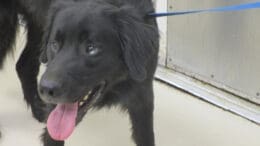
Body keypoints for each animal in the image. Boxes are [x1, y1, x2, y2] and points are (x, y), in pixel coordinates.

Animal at [0, 0, 159, 146]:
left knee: (24, 66)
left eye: (91, 48)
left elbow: (146, 136)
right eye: (55, 44)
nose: (46, 89)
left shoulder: (142, 96)